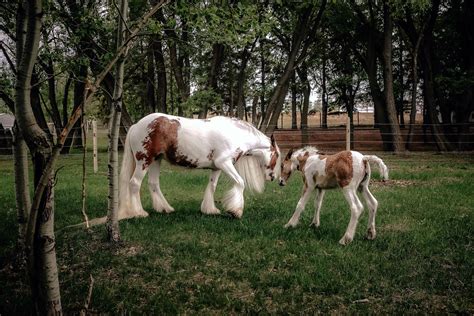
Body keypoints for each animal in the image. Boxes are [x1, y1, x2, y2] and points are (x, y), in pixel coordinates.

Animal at [119, 113, 282, 220]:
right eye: (277, 155)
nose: (273, 178)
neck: (235, 134)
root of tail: (136, 126)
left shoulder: (217, 167)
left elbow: (212, 187)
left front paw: (210, 210)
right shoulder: (225, 163)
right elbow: (240, 183)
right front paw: (236, 211)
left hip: (156, 160)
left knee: (153, 184)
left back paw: (166, 208)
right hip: (144, 161)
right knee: (134, 183)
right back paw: (139, 213)